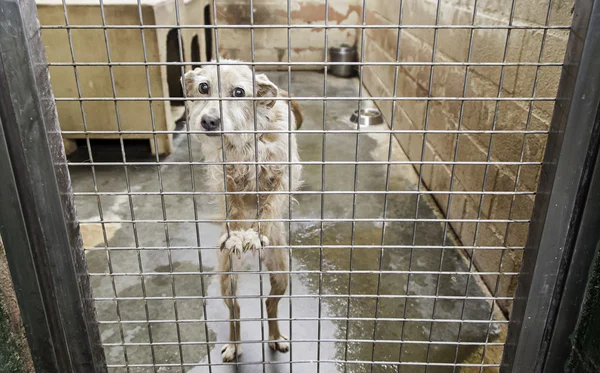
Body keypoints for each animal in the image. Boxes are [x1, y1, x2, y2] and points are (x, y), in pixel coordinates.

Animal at [183, 60, 302, 360]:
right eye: (203, 87)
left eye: (239, 92)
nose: (209, 121)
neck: (246, 135)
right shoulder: (225, 179)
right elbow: (235, 210)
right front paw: (239, 234)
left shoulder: (284, 174)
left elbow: (270, 206)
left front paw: (256, 233)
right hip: (227, 279)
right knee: (235, 310)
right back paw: (235, 344)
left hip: (281, 274)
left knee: (270, 304)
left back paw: (276, 337)